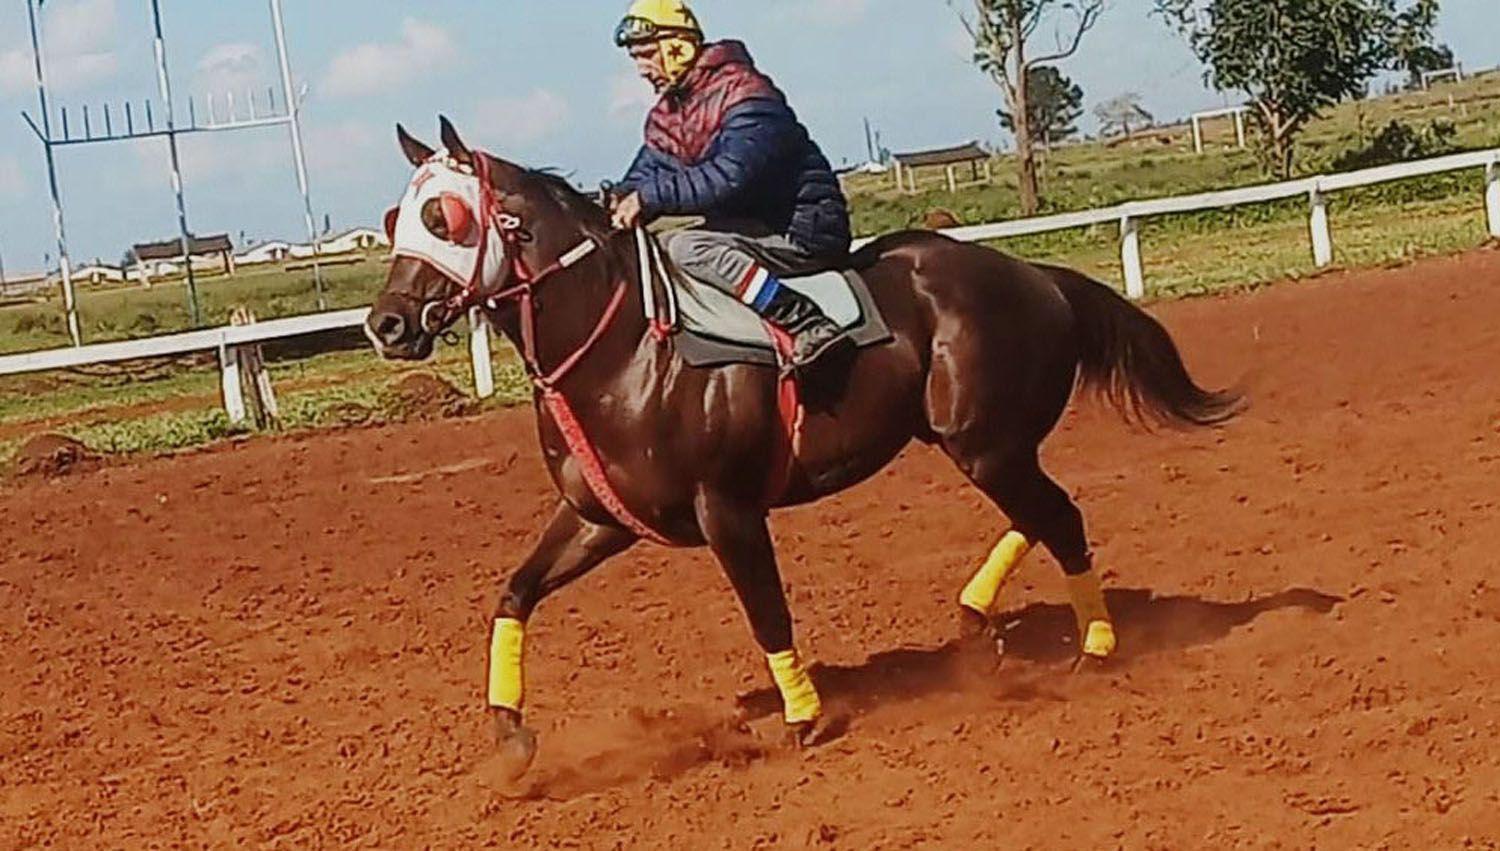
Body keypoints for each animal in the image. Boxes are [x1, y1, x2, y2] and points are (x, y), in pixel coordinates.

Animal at [365, 118, 1241, 780]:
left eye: (445, 218)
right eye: (395, 220)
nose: (386, 325)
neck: (625, 350)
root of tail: (1038, 276)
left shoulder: (727, 509)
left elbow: (766, 610)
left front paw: (803, 714)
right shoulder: (598, 518)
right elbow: (513, 594)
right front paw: (510, 732)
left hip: (985, 443)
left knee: (1060, 517)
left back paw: (1095, 646)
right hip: (981, 443)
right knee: (1042, 512)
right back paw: (977, 617)